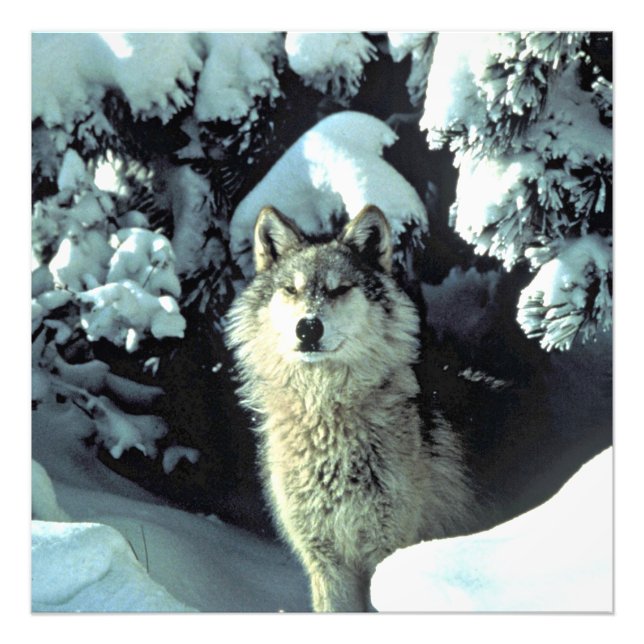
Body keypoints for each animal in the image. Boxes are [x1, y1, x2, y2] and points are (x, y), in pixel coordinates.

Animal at [225, 205, 477, 612]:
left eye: (339, 288)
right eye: (291, 289)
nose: (308, 328)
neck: (325, 418)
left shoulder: (386, 553)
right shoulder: (326, 563)